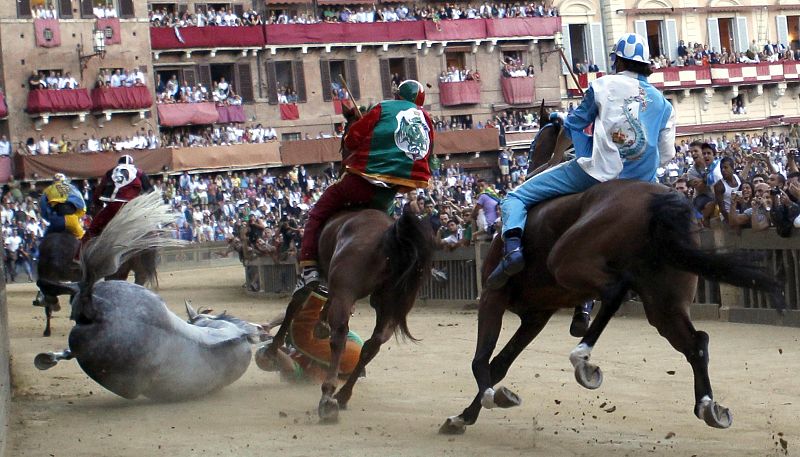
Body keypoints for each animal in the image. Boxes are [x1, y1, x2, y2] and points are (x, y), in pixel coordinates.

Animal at [260, 102, 434, 420]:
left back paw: (328, 396)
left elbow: (295, 306)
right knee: (373, 344)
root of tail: (390, 235)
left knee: (341, 335)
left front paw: (271, 351)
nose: (340, 160)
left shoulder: (312, 279)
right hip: (389, 303)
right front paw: (319, 324)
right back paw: (343, 395)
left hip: (348, 289)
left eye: (344, 135)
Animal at [438, 112, 780, 432]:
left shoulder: (493, 295)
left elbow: (482, 359)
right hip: (664, 302)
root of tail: (660, 201)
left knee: (615, 292)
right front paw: (464, 415)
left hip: (566, 261)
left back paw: (582, 359)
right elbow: (499, 363)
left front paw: (484, 400)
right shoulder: (537, 315)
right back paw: (709, 405)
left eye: (533, 144)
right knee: (696, 342)